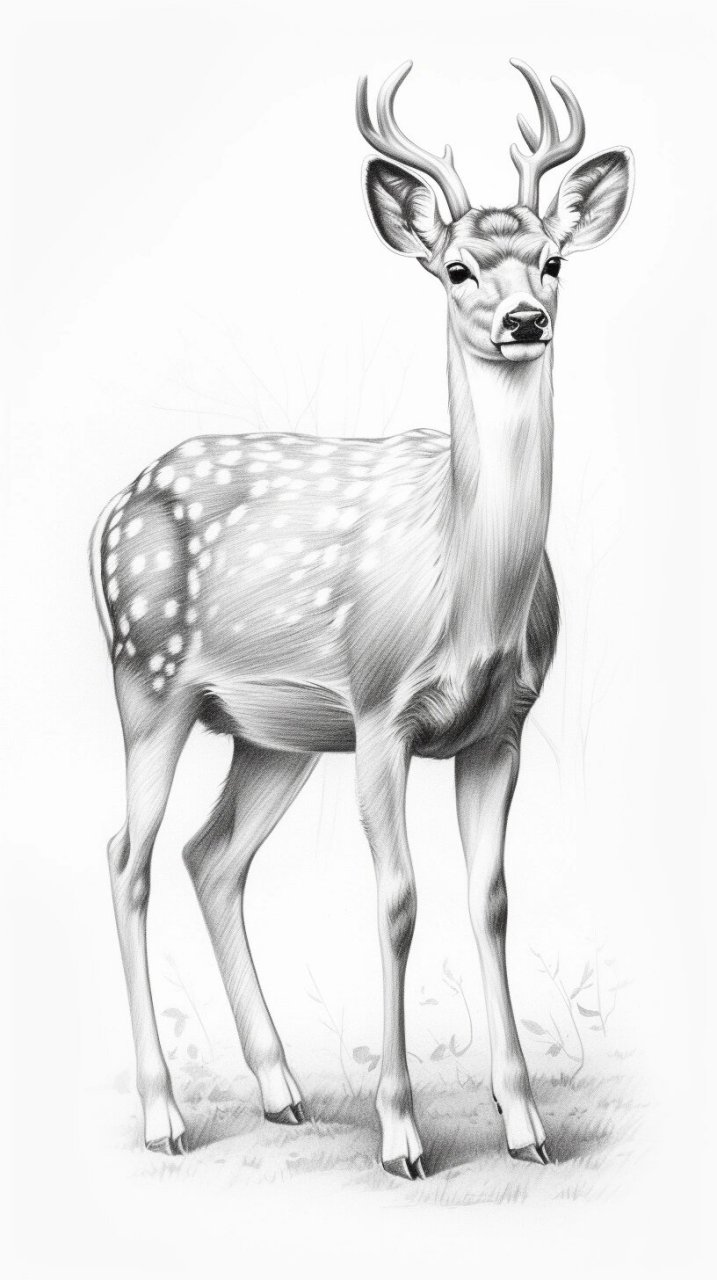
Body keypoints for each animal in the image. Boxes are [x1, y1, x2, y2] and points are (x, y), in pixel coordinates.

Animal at [90, 59, 633, 1180]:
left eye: (552, 259)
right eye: (458, 268)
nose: (525, 320)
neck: (466, 588)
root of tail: (110, 510)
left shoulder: (503, 727)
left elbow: (491, 897)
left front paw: (526, 1125)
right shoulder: (383, 712)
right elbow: (397, 899)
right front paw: (402, 1134)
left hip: (272, 733)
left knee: (212, 854)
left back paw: (283, 1091)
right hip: (146, 675)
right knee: (128, 856)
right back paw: (166, 1116)